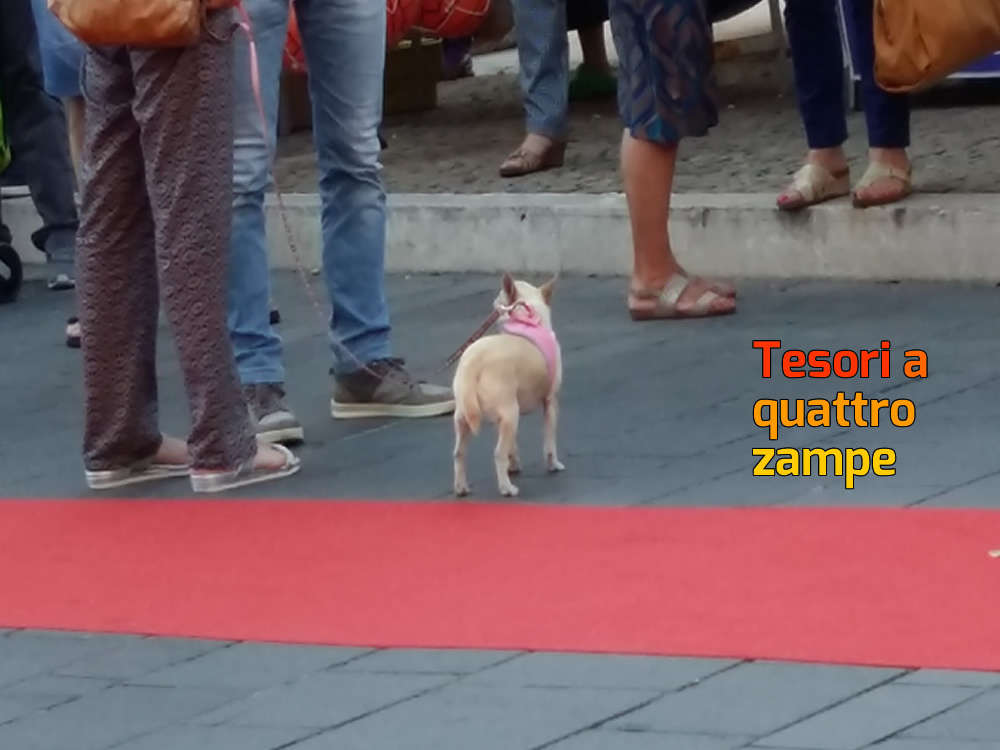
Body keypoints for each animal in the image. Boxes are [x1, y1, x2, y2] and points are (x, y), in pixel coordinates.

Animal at [452, 274, 564, 496]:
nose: (494, 305)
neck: (528, 318)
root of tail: (472, 363)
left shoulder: (502, 422)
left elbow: (512, 446)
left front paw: (514, 465)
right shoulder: (550, 402)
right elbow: (549, 441)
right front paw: (553, 464)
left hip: (465, 417)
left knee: (459, 453)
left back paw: (461, 488)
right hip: (511, 413)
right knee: (498, 454)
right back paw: (507, 488)